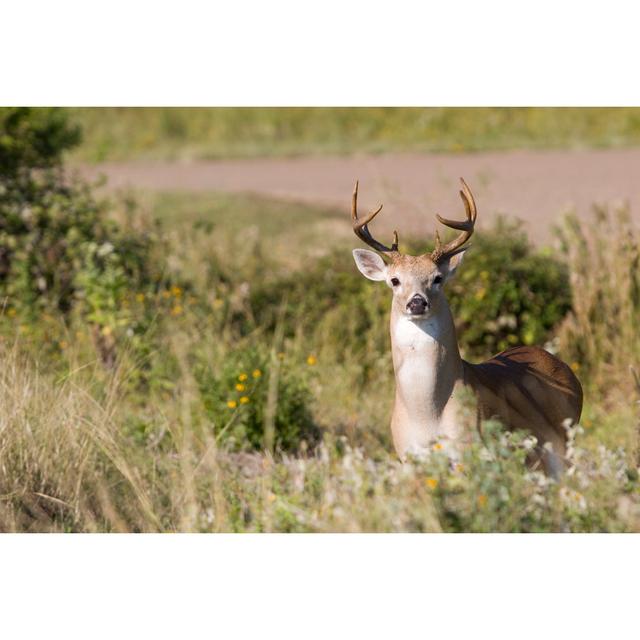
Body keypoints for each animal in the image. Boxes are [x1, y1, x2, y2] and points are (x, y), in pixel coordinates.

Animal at [352, 178, 584, 478]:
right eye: (394, 280)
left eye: (437, 278)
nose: (417, 302)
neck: (427, 414)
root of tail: (567, 370)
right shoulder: (407, 458)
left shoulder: (468, 450)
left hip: (563, 446)